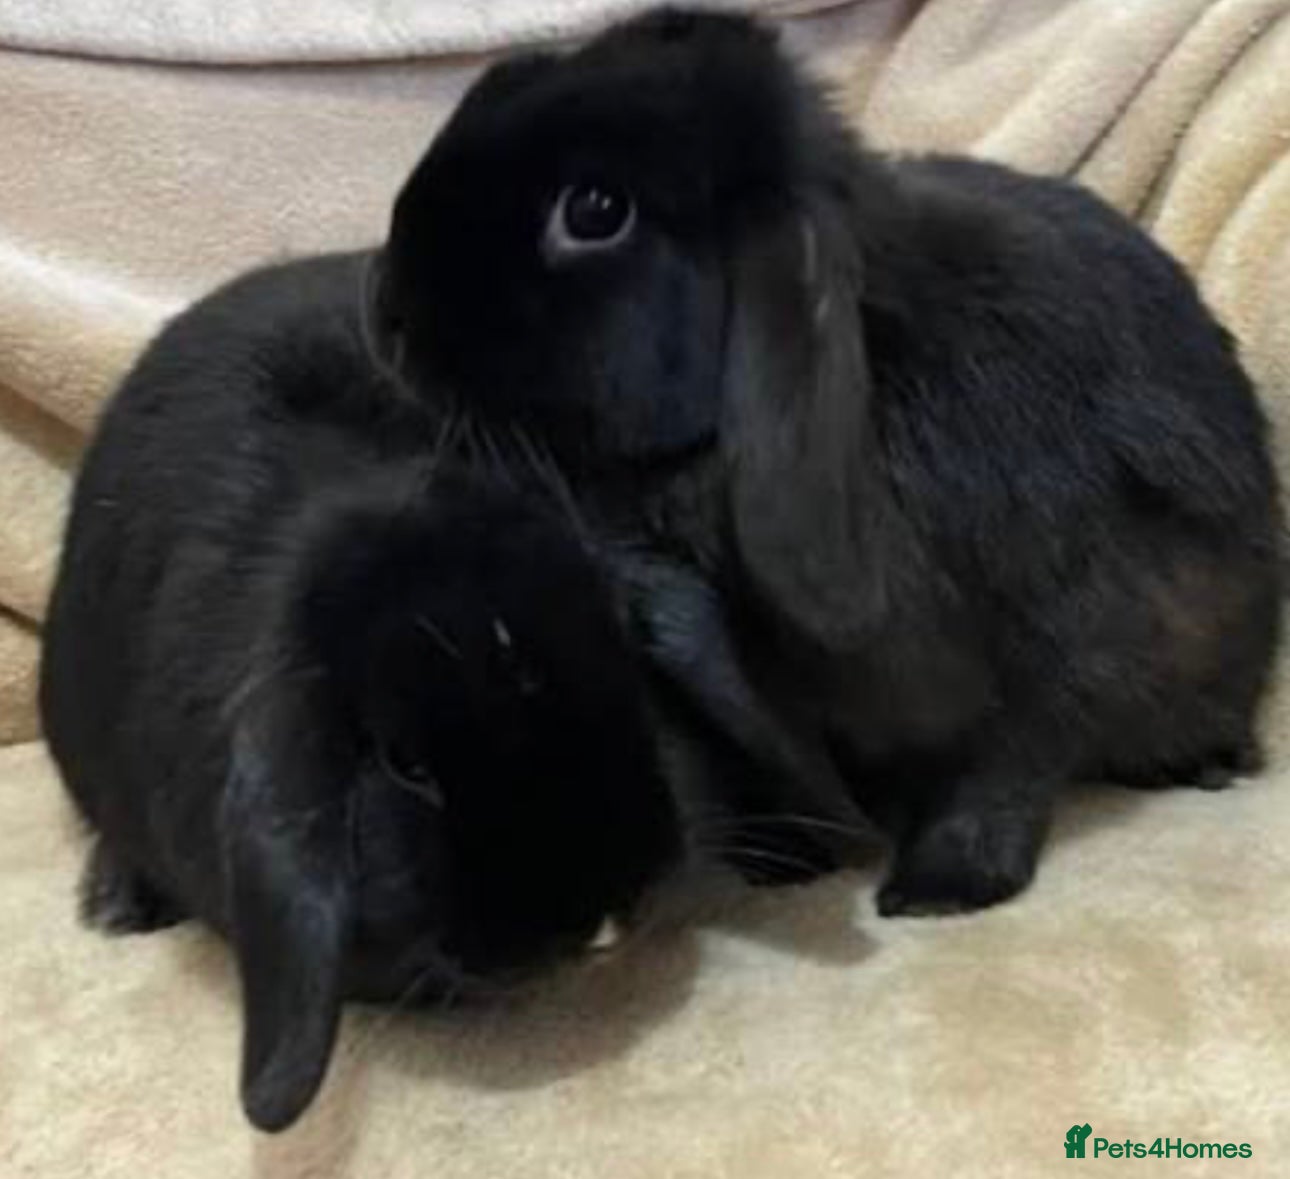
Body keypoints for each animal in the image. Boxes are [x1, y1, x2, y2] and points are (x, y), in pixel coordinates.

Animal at [366, 7, 1285, 918]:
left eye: (594, 209)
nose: (387, 314)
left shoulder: (1062, 648)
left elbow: (1005, 770)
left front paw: (939, 888)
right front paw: (791, 858)